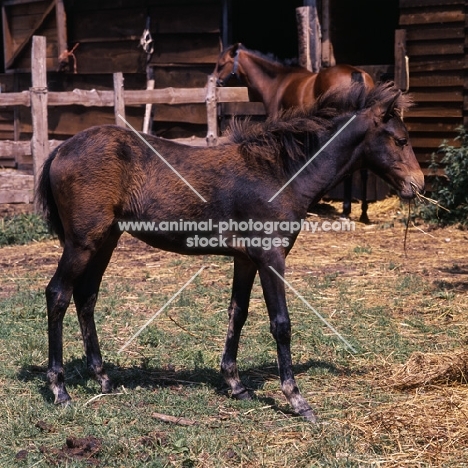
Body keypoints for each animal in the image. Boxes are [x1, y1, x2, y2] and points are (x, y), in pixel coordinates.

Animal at [37, 82, 424, 422]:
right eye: (401, 140)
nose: (417, 184)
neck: (280, 172)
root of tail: (60, 150)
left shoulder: (245, 259)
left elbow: (237, 313)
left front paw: (235, 384)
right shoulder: (271, 257)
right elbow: (281, 323)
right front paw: (297, 399)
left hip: (106, 240)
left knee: (86, 296)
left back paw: (102, 377)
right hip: (82, 242)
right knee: (58, 294)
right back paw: (59, 389)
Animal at [216, 42, 376, 223]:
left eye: (221, 64)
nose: (217, 82)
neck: (277, 82)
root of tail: (356, 74)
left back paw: (347, 210)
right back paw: (362, 213)